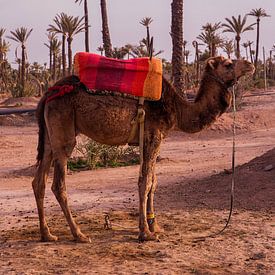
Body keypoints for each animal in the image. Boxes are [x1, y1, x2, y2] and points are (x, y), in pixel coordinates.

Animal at [31, 56, 254, 244]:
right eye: (228, 63)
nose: (250, 65)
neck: (179, 109)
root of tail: (48, 94)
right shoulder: (153, 136)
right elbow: (145, 182)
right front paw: (145, 232)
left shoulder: (154, 139)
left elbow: (153, 182)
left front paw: (155, 225)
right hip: (64, 128)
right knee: (58, 184)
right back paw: (79, 234)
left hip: (50, 136)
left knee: (38, 181)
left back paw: (47, 234)